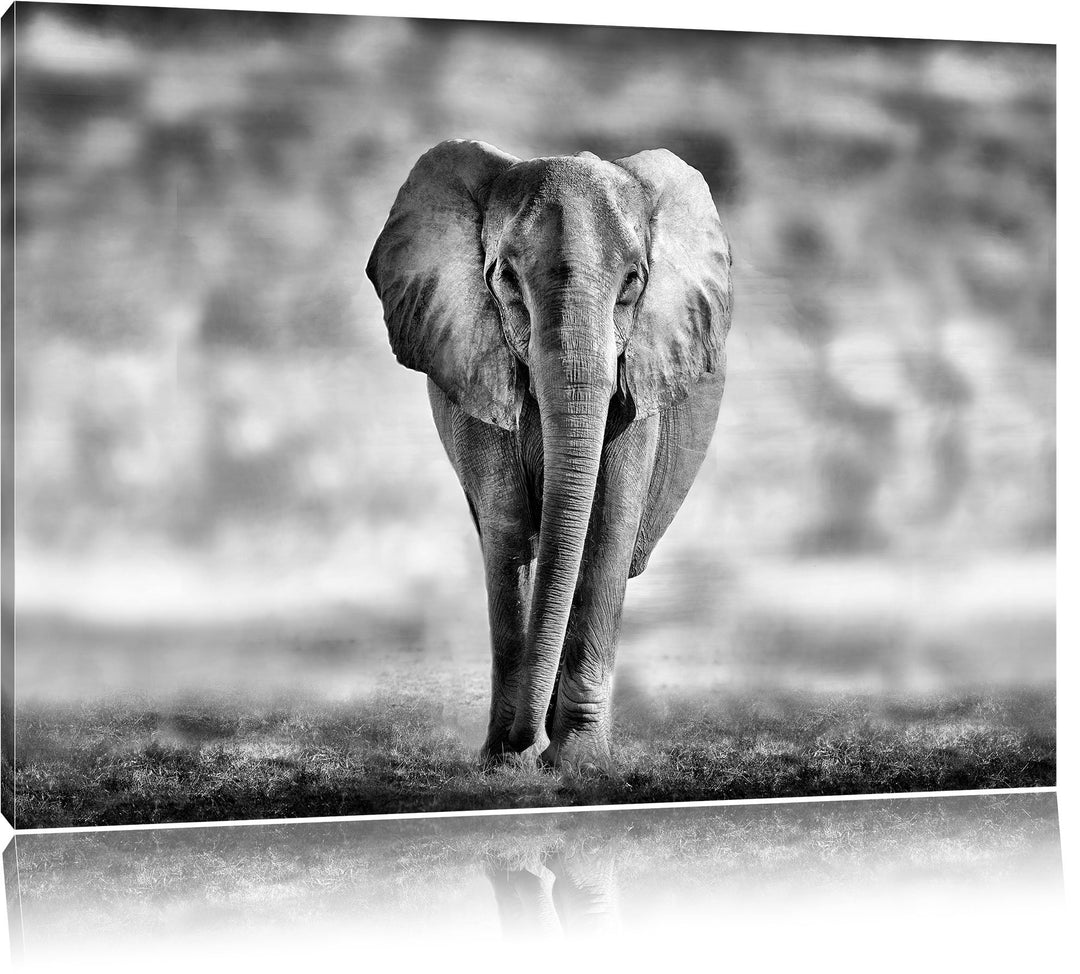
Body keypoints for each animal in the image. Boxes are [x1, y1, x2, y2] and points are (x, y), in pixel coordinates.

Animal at [367, 139, 732, 768]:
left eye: (632, 283)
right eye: (507, 280)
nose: (526, 745)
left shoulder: (638, 379)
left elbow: (607, 528)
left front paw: (578, 762)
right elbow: (508, 527)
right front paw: (504, 762)